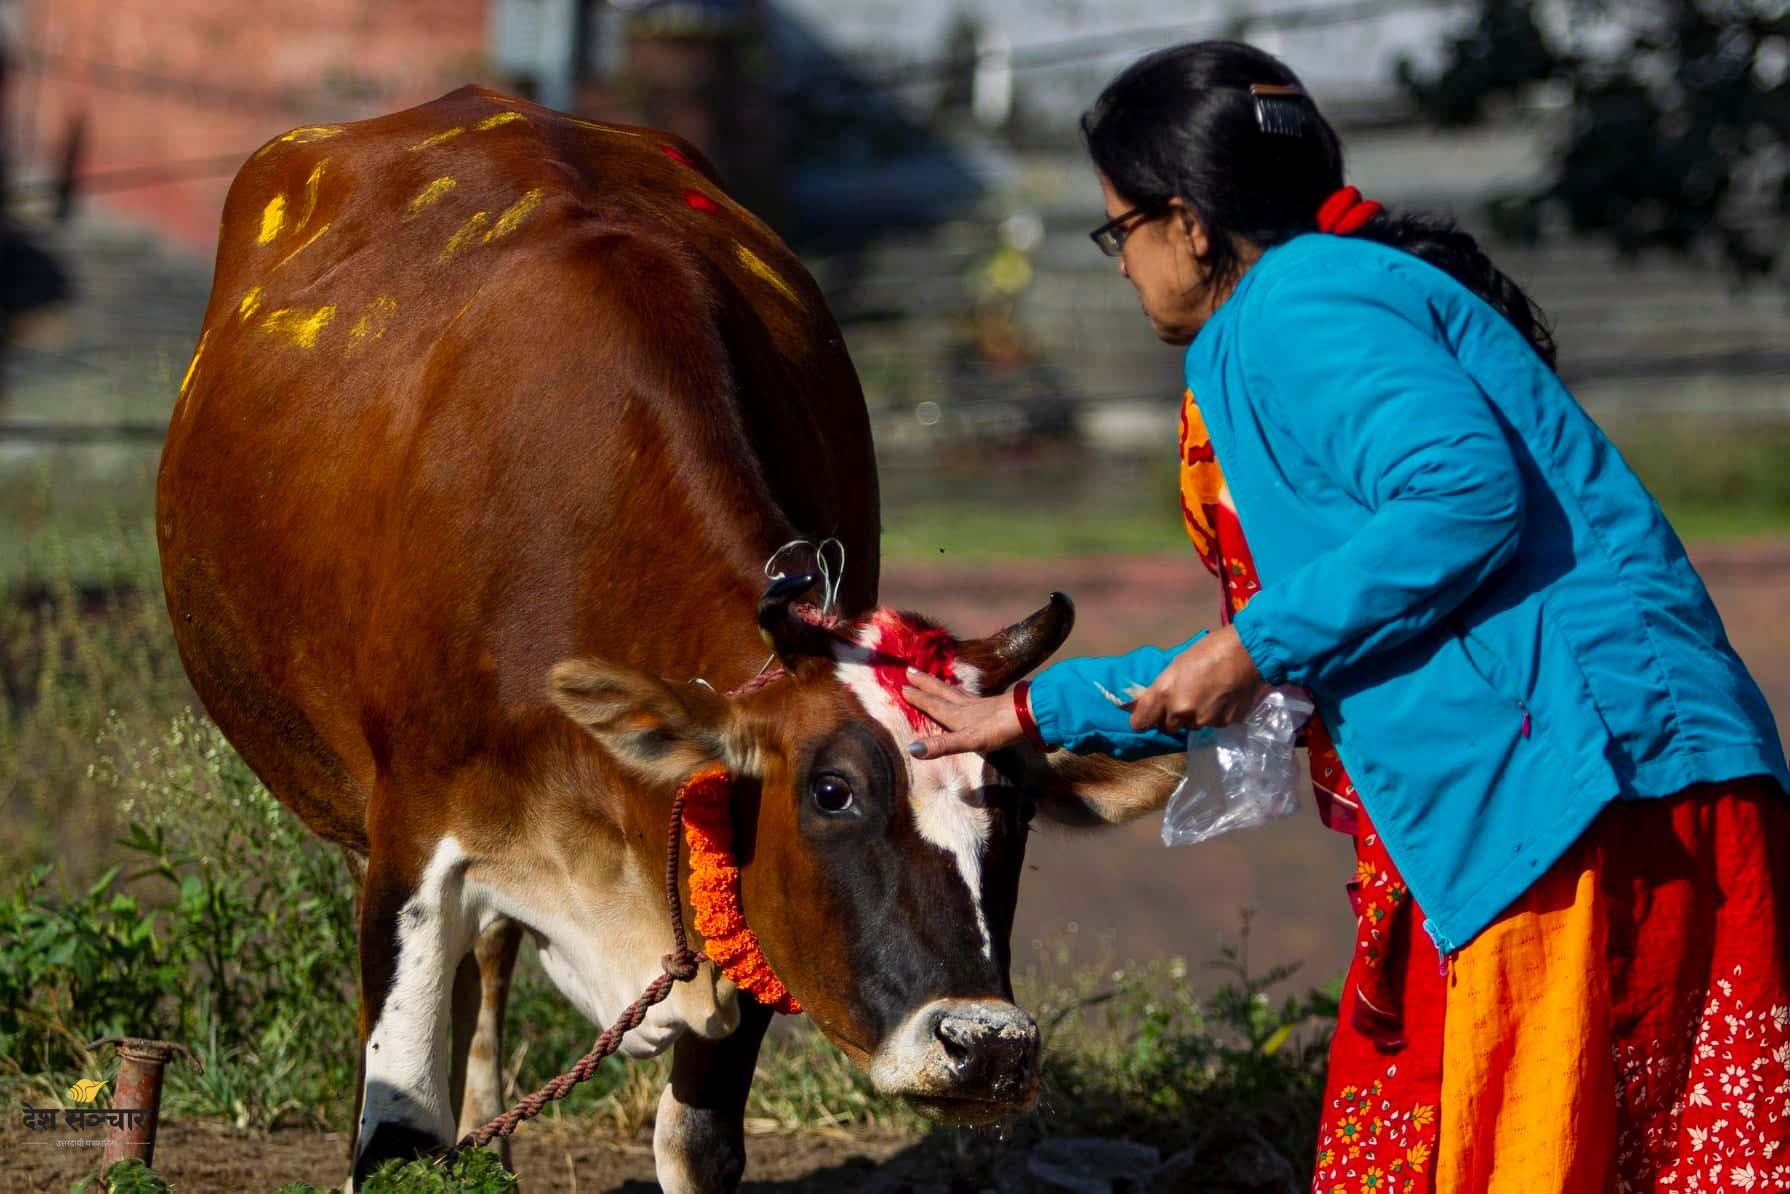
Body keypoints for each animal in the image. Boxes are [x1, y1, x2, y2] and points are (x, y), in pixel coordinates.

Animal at [161, 88, 1181, 1188]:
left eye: (1016, 803)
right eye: (831, 791)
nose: (984, 1044)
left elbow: (697, 1144)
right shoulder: (411, 847)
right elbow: (394, 1133)